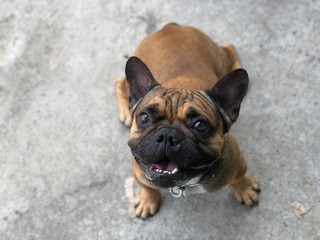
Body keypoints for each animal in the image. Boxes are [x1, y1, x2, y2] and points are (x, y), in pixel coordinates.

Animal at [115, 23, 260, 218]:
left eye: (200, 126)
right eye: (144, 117)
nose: (167, 135)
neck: (185, 184)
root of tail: (170, 26)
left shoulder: (238, 166)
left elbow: (240, 178)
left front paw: (245, 190)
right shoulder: (139, 175)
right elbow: (148, 188)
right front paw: (147, 200)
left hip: (218, 57)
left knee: (229, 49)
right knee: (118, 84)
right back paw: (125, 111)